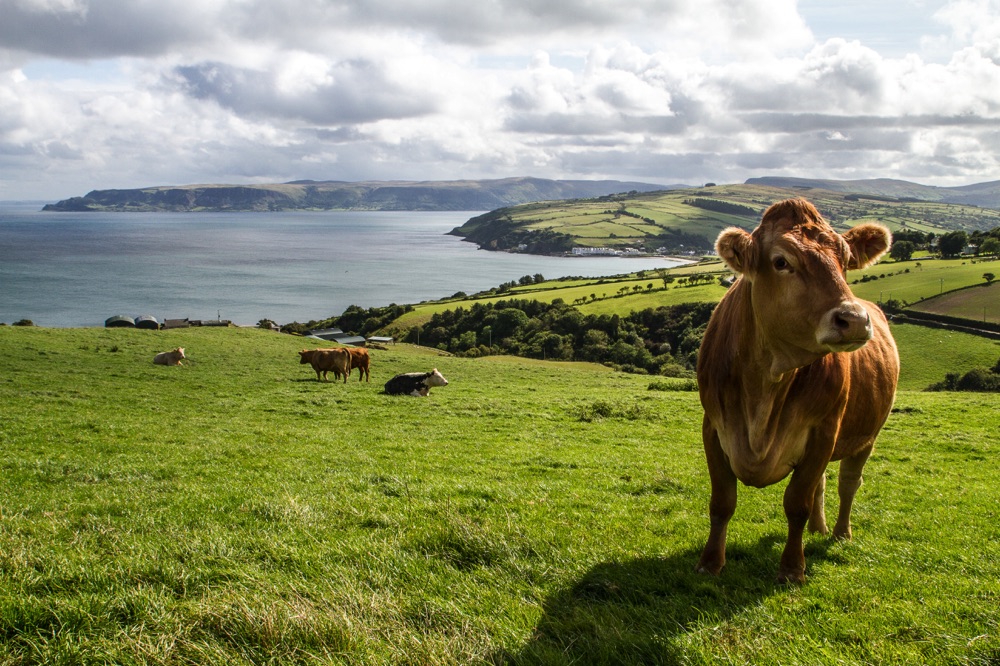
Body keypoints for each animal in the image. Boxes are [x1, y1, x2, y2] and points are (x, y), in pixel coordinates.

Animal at [696, 197, 900, 580]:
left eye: (845, 260)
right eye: (781, 262)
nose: (854, 320)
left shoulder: (823, 431)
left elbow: (797, 503)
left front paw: (792, 568)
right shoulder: (713, 427)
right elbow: (722, 501)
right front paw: (710, 562)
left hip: (867, 435)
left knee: (848, 482)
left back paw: (840, 533)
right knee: (823, 483)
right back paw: (819, 529)